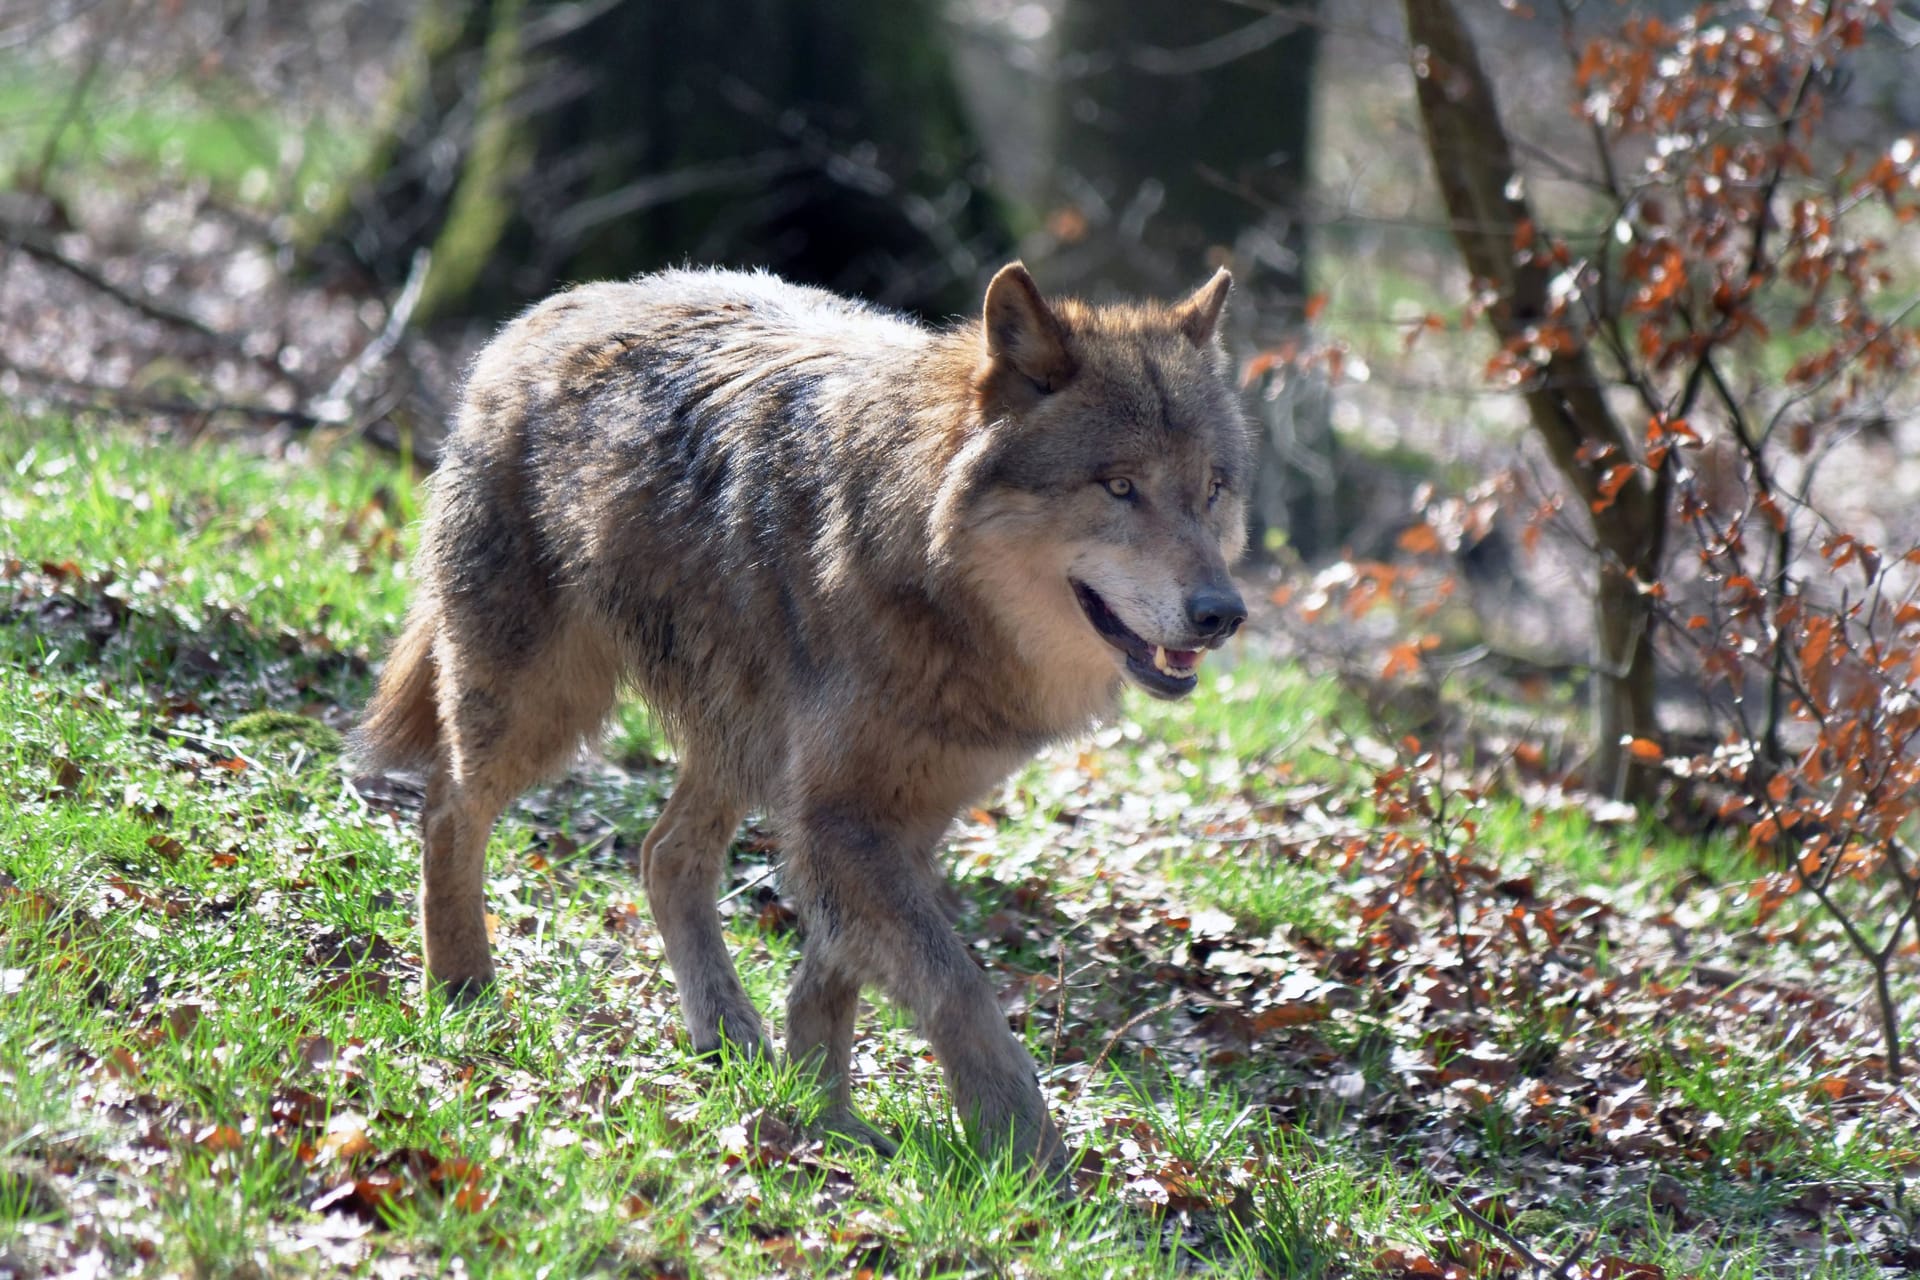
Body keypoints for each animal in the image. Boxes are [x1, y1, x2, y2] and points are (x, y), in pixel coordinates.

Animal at [359, 260, 1251, 1174]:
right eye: (1120, 486)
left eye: (1213, 489)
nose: (1224, 614)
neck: (932, 580)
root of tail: (551, 308)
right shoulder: (841, 818)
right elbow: (960, 989)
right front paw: (1029, 1155)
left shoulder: (889, 817)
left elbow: (833, 975)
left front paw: (826, 1116)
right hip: (542, 705)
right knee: (448, 809)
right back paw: (463, 990)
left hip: (739, 739)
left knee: (663, 855)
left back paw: (726, 1037)